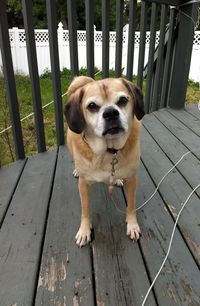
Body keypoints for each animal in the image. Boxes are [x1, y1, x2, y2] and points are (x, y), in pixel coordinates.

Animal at [65, 76, 145, 246]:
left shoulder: (132, 179)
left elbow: (131, 205)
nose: (110, 113)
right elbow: (85, 209)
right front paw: (84, 230)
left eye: (123, 100)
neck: (109, 151)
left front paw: (132, 225)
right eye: (92, 106)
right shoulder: (83, 184)